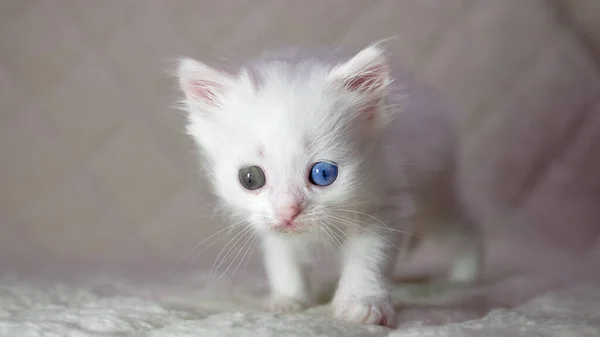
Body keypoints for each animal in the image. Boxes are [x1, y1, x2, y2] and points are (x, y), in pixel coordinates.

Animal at [175, 42, 482, 326]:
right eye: (251, 178)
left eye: (323, 174)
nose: (289, 211)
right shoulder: (271, 224)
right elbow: (283, 260)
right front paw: (289, 299)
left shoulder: (385, 204)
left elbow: (368, 260)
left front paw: (362, 305)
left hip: (435, 196)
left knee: (465, 224)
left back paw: (467, 276)